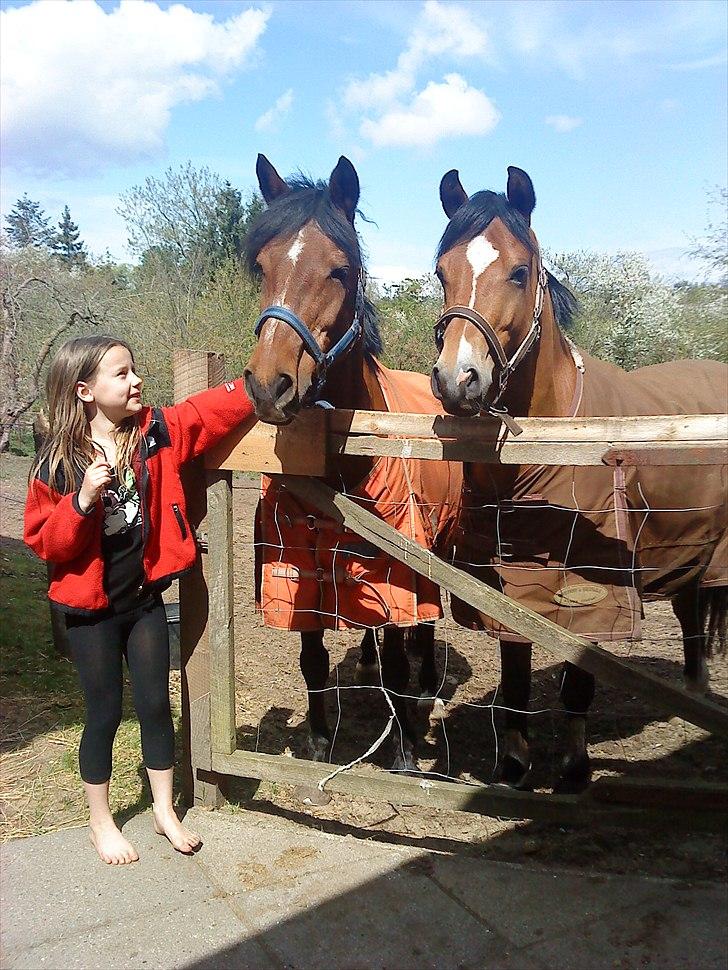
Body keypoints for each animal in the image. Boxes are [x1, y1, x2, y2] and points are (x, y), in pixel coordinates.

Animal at [243, 153, 460, 772]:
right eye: (261, 266)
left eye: (340, 270)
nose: (269, 385)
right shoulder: (300, 564)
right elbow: (312, 659)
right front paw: (319, 741)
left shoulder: (397, 566)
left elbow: (399, 661)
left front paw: (405, 752)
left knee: (421, 632)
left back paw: (427, 684)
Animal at [432, 164, 728, 788]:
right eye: (441, 271)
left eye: (520, 272)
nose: (456, 379)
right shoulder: (506, 585)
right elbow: (516, 675)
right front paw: (513, 765)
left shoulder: (592, 592)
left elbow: (577, 682)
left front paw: (572, 769)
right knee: (691, 613)